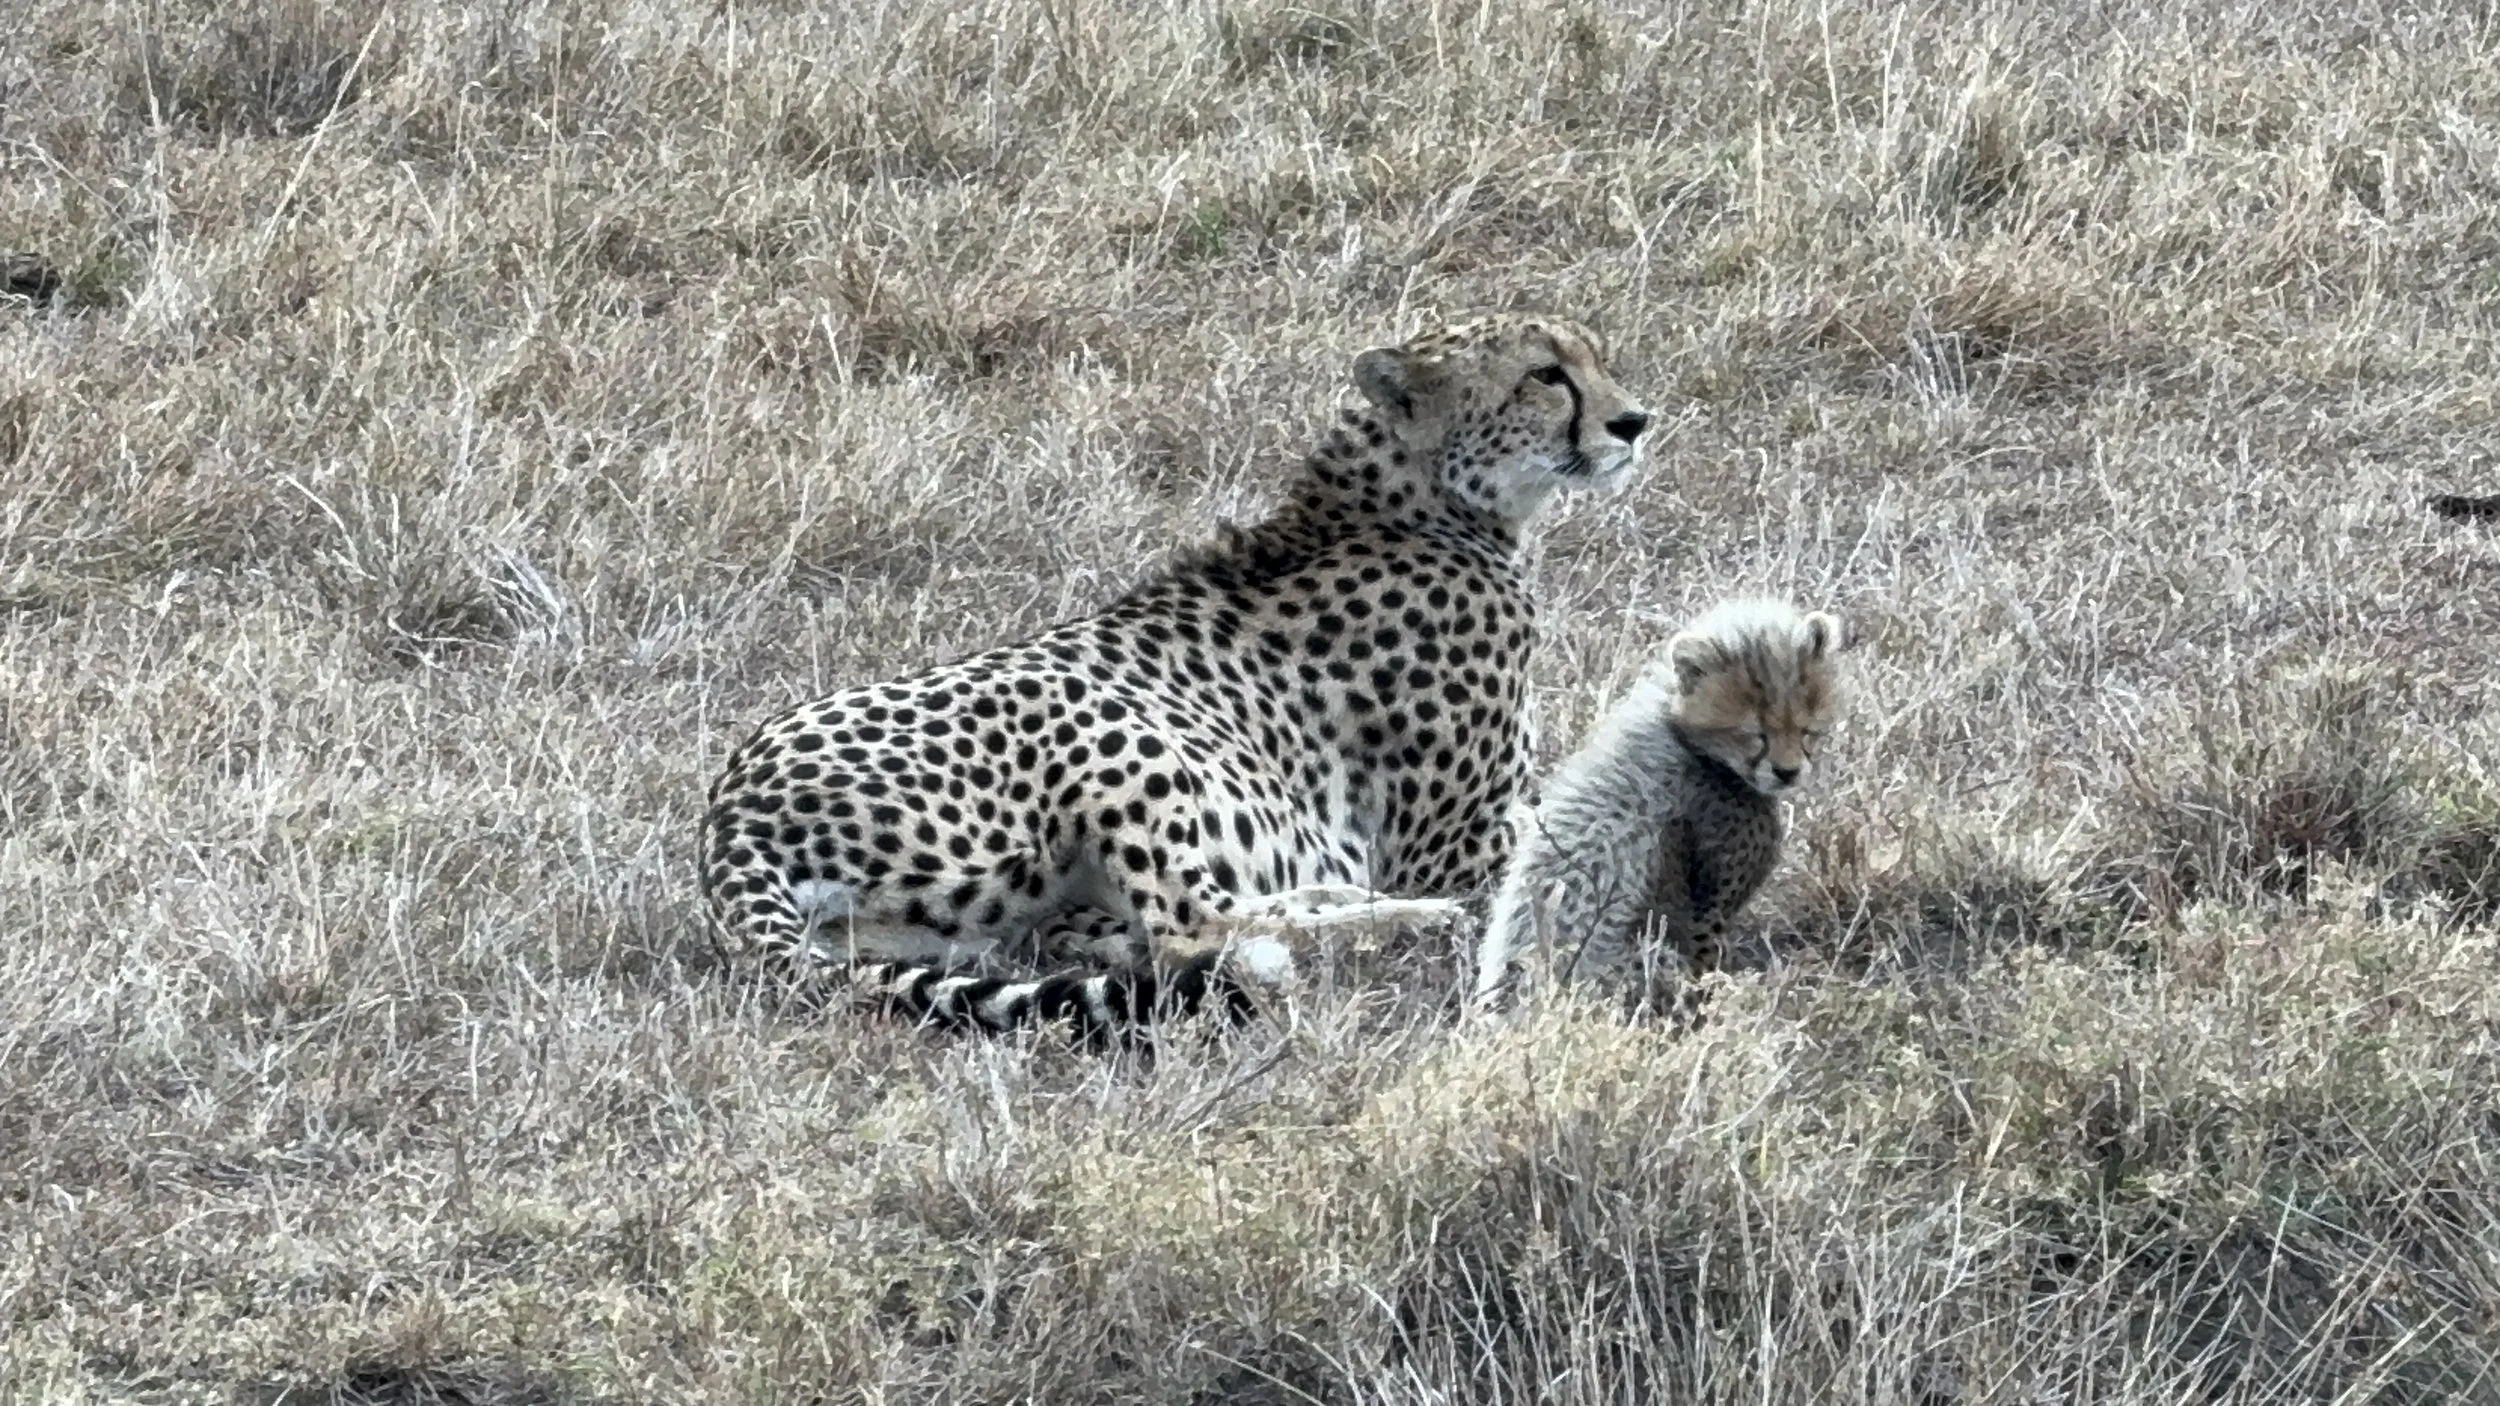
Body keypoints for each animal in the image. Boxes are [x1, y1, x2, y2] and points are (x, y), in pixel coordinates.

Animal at [701, 314, 1655, 1040]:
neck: (1424, 502)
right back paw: (1399, 923)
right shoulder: (1455, 846)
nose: (1634, 422)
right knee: (1190, 932)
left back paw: (1332, 895)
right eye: (1545, 375)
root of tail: (728, 815)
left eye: (1595, 358)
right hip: (1095, 716)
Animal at [1471, 597, 1849, 1013]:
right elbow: (1704, 964)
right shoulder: (1706, 910)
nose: (1787, 772)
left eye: (1806, 728)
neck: (1685, 736)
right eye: (1754, 734)